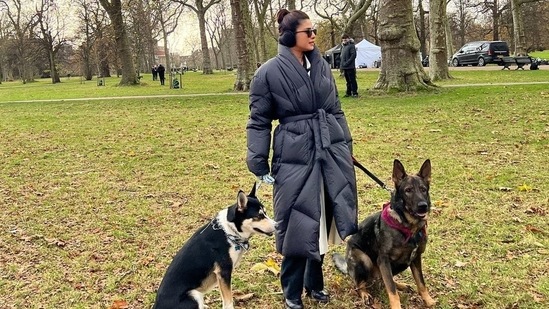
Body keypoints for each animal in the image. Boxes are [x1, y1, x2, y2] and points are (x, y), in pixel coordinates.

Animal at [332, 160, 434, 306]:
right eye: (408, 190)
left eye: (423, 189)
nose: (423, 206)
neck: (408, 228)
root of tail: (348, 267)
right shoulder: (384, 260)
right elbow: (392, 291)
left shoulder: (415, 258)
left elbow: (421, 283)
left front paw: (429, 300)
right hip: (364, 260)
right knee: (359, 284)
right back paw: (365, 294)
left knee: (384, 279)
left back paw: (401, 285)